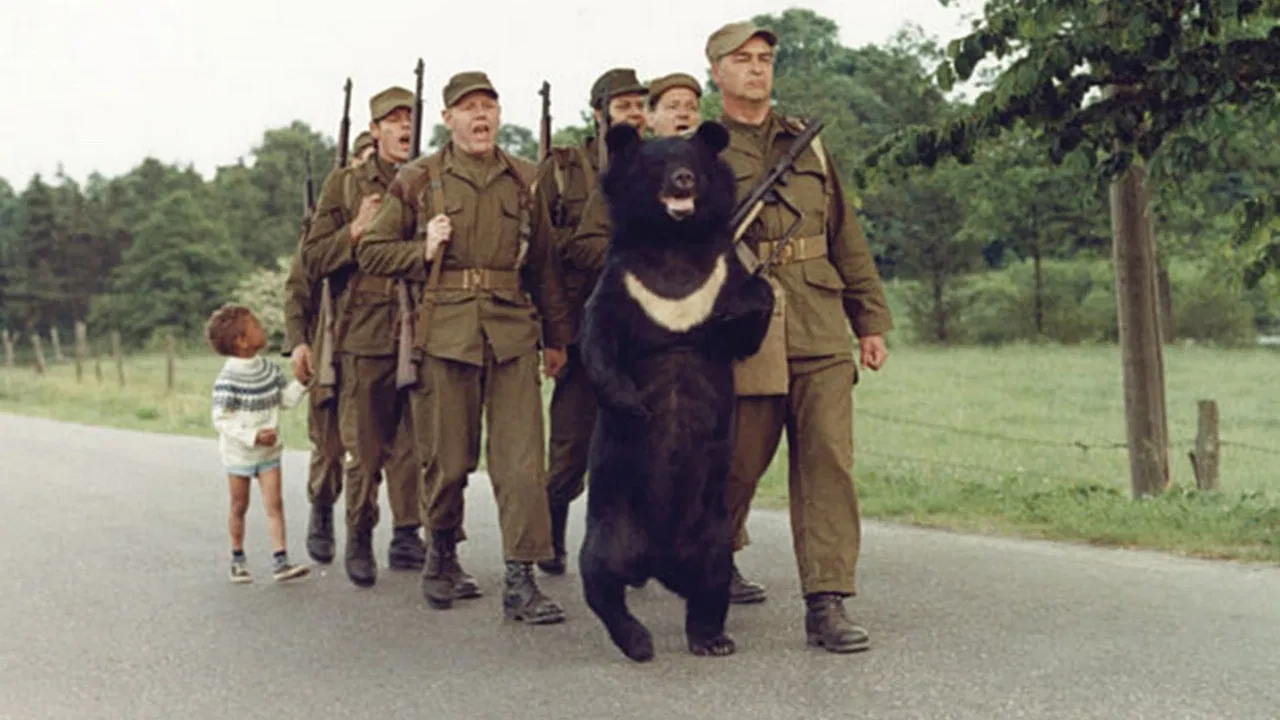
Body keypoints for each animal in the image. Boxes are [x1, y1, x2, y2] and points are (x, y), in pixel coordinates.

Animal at [576, 120, 776, 663]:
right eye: (658, 165)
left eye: (693, 164)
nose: (683, 180)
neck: (673, 242)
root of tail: (659, 563)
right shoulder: (623, 281)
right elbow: (597, 338)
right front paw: (634, 404)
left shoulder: (718, 275)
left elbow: (746, 324)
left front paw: (751, 302)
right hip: (613, 519)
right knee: (600, 577)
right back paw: (638, 641)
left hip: (711, 531)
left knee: (711, 583)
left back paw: (712, 640)